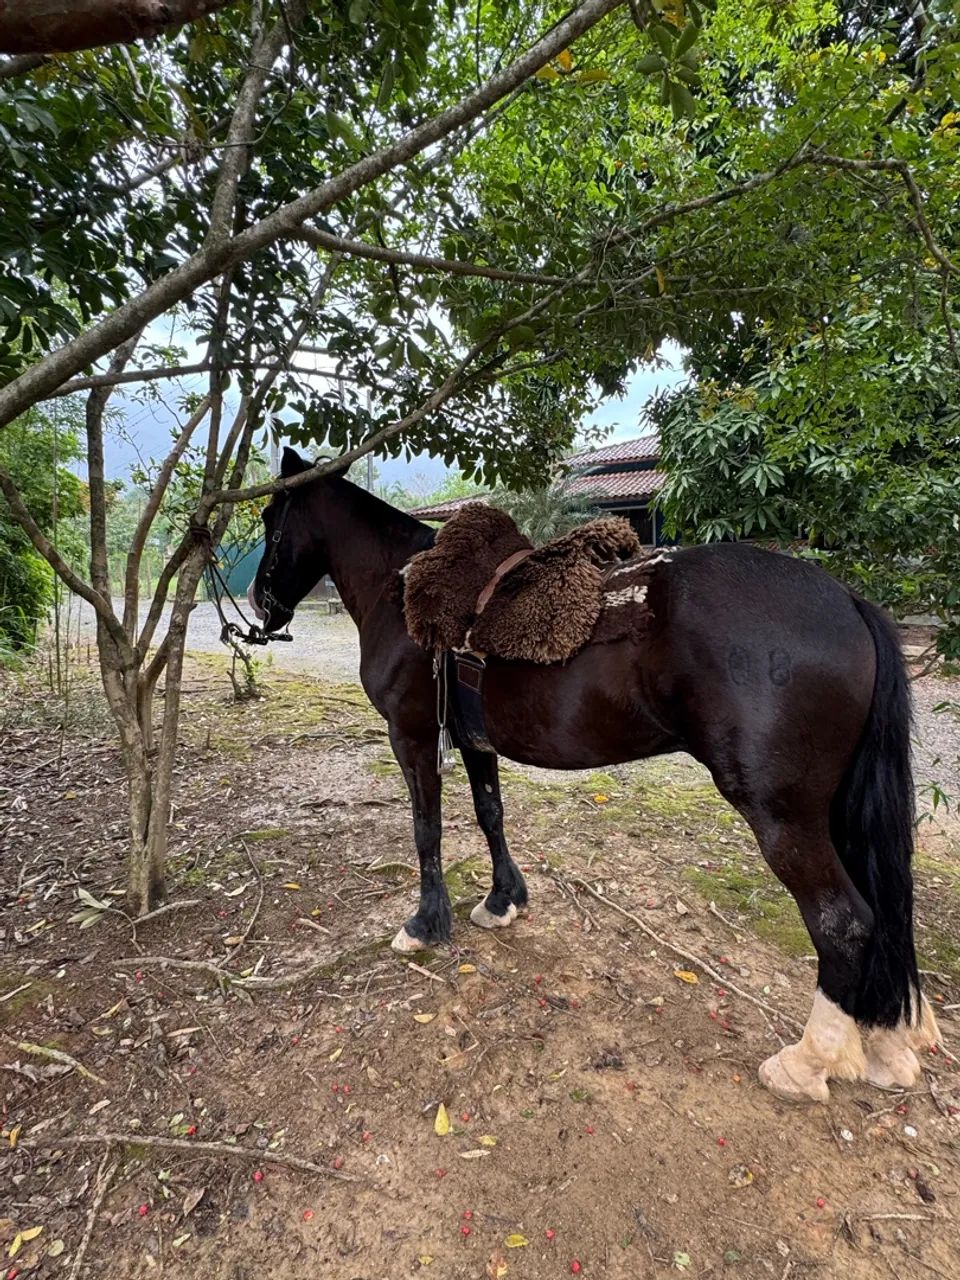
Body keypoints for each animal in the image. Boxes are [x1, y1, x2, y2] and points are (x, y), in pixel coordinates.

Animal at [248, 446, 940, 1104]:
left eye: (271, 521)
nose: (260, 603)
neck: (403, 596)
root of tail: (847, 601)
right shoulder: (474, 741)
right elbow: (490, 814)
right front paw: (502, 901)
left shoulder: (413, 738)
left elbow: (426, 828)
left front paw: (424, 924)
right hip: (835, 810)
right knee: (879, 909)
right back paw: (884, 1044)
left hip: (783, 815)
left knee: (843, 922)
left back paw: (805, 1063)